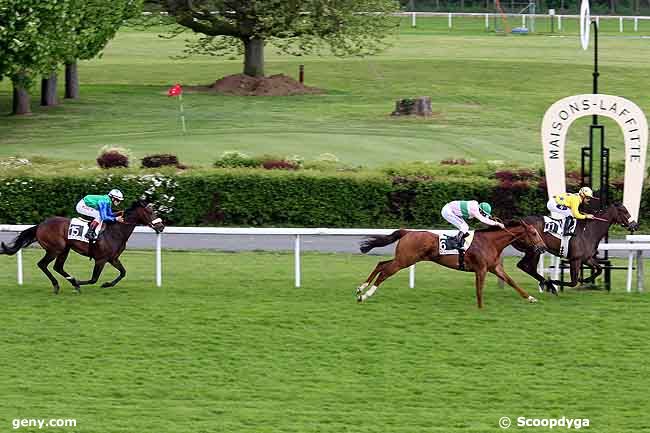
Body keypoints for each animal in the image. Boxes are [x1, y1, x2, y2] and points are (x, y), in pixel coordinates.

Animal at [1, 200, 163, 294]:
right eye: (150, 212)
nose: (161, 226)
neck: (115, 231)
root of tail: (40, 225)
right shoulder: (101, 259)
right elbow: (93, 279)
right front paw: (79, 282)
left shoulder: (113, 258)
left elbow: (123, 273)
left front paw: (106, 284)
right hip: (55, 249)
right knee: (42, 264)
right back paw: (59, 285)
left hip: (64, 249)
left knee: (57, 267)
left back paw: (70, 282)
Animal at [356, 219, 544, 308]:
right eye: (534, 233)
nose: (542, 247)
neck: (490, 242)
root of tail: (408, 232)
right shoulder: (481, 269)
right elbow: (479, 289)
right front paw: (480, 308)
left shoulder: (494, 267)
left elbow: (512, 281)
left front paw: (531, 298)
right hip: (404, 260)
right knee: (385, 272)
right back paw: (365, 295)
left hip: (404, 259)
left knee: (381, 264)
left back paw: (361, 288)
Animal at [508, 201, 636, 292]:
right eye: (624, 211)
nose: (634, 225)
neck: (589, 231)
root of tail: (519, 222)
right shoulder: (575, 259)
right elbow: (573, 282)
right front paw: (556, 281)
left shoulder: (586, 258)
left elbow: (599, 269)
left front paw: (585, 279)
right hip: (534, 250)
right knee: (526, 266)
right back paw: (549, 284)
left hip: (535, 250)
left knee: (527, 267)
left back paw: (546, 283)